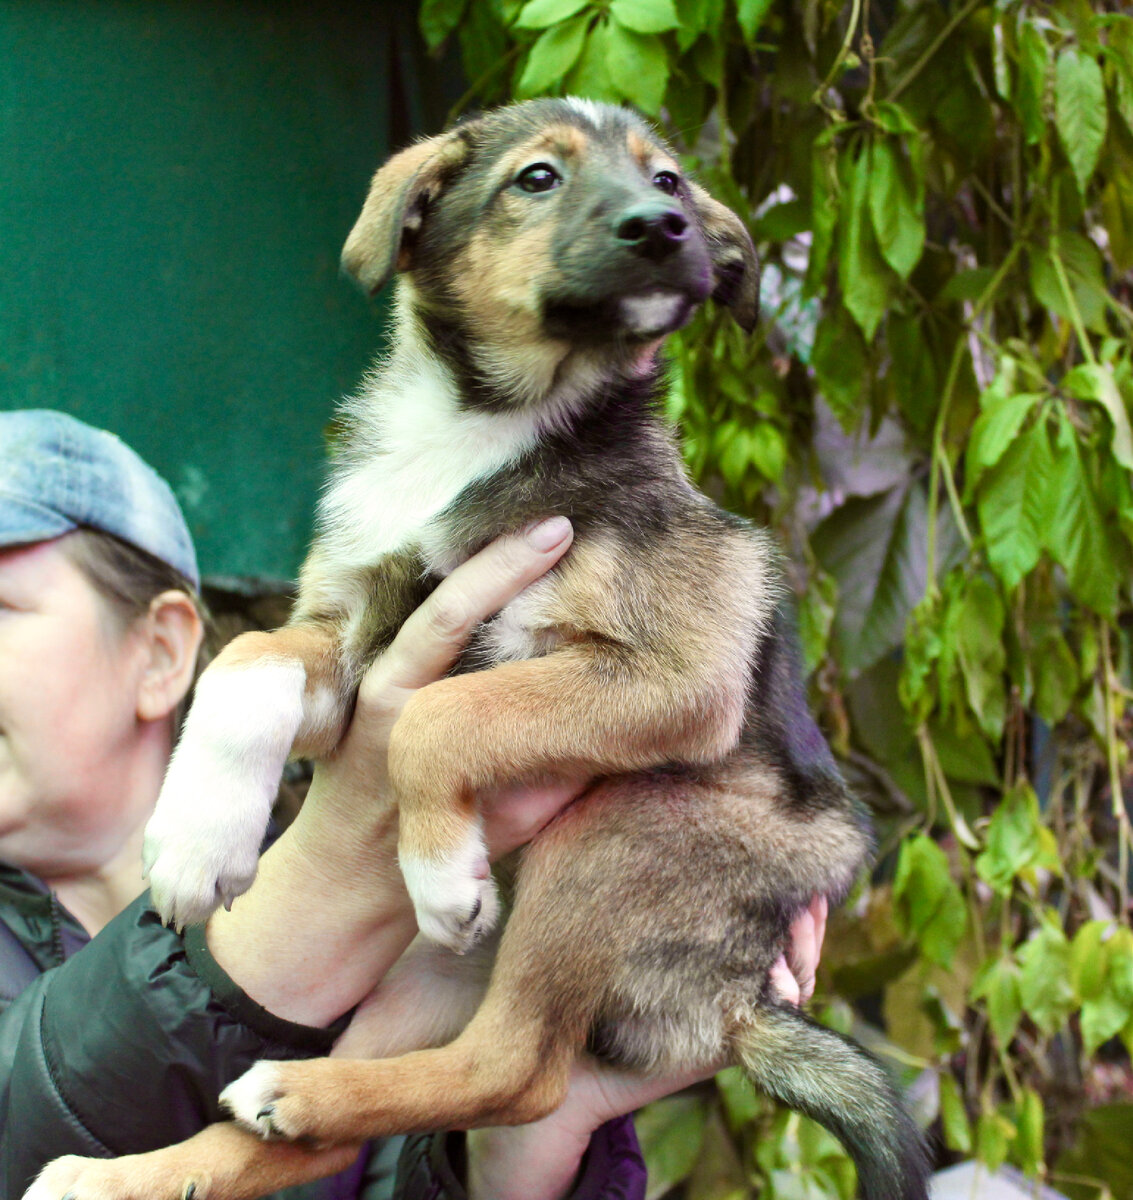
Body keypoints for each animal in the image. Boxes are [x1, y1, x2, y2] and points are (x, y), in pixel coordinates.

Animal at [33, 100, 931, 1200]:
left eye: (668, 181)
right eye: (536, 178)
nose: (662, 228)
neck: (482, 424)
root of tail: (734, 1007)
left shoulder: (676, 674)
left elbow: (439, 712)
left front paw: (437, 867)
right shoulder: (348, 634)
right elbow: (245, 667)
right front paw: (196, 842)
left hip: (615, 835)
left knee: (517, 1072)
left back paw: (297, 1083)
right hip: (422, 975)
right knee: (343, 1129)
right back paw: (139, 1166)